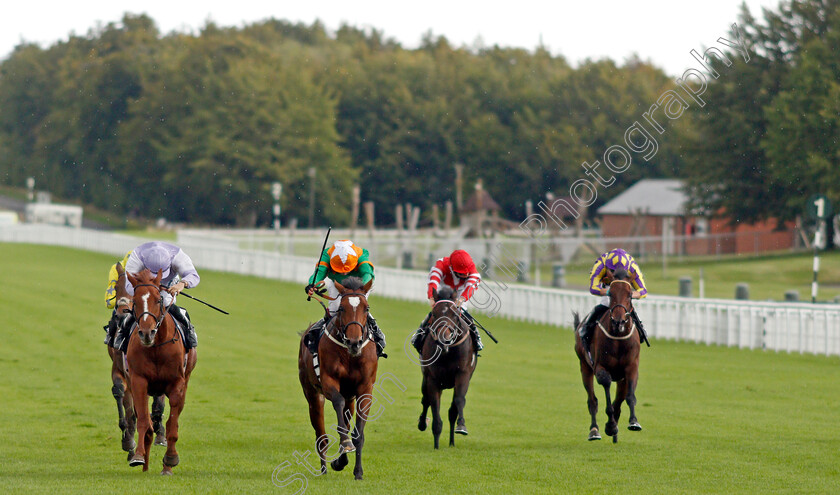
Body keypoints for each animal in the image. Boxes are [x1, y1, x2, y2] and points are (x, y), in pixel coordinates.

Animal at [105, 264, 167, 462]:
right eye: (116, 287)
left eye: (132, 288)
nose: (122, 312)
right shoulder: (120, 368)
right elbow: (121, 395)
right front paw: (128, 442)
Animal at [124, 270, 199, 474]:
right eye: (135, 301)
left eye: (158, 300)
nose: (146, 333)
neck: (156, 346)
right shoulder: (138, 381)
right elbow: (144, 421)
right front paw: (139, 456)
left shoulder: (176, 383)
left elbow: (172, 423)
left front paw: (171, 459)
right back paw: (145, 465)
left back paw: (166, 467)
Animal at [296, 276, 374, 480]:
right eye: (341, 308)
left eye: (366, 308)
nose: (354, 342)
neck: (350, 355)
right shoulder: (329, 382)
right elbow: (338, 409)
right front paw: (344, 446)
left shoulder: (365, 389)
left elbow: (358, 433)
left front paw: (358, 472)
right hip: (313, 395)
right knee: (321, 436)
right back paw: (324, 468)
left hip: (350, 398)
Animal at [416, 284, 476, 452]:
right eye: (435, 314)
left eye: (455, 315)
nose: (444, 339)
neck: (447, 351)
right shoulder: (432, 379)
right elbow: (434, 405)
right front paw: (436, 443)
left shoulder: (463, 374)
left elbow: (459, 401)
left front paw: (461, 426)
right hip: (425, 380)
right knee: (425, 400)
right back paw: (422, 423)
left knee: (452, 410)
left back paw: (451, 442)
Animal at [572, 270, 644, 444]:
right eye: (611, 293)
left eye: (630, 295)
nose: (619, 321)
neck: (618, 337)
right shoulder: (600, 367)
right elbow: (605, 386)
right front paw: (610, 426)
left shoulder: (631, 367)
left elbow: (629, 397)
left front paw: (633, 422)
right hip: (584, 366)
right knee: (592, 401)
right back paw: (594, 431)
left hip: (620, 377)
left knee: (619, 398)